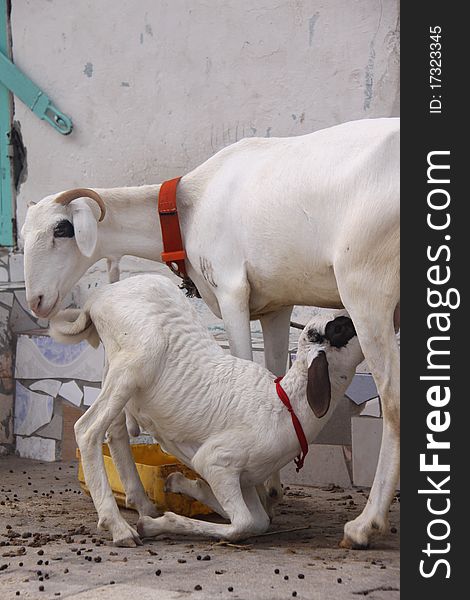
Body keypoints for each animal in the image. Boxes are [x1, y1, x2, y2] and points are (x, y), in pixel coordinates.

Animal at [49, 274, 364, 548]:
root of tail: (100, 296)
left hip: (116, 367)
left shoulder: (245, 480)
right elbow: (245, 524)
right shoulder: (217, 461)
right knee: (88, 429)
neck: (287, 406)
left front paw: (182, 485)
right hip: (136, 360)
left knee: (114, 432)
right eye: (340, 328)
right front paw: (159, 524)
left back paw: (143, 505)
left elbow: (260, 520)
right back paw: (120, 527)